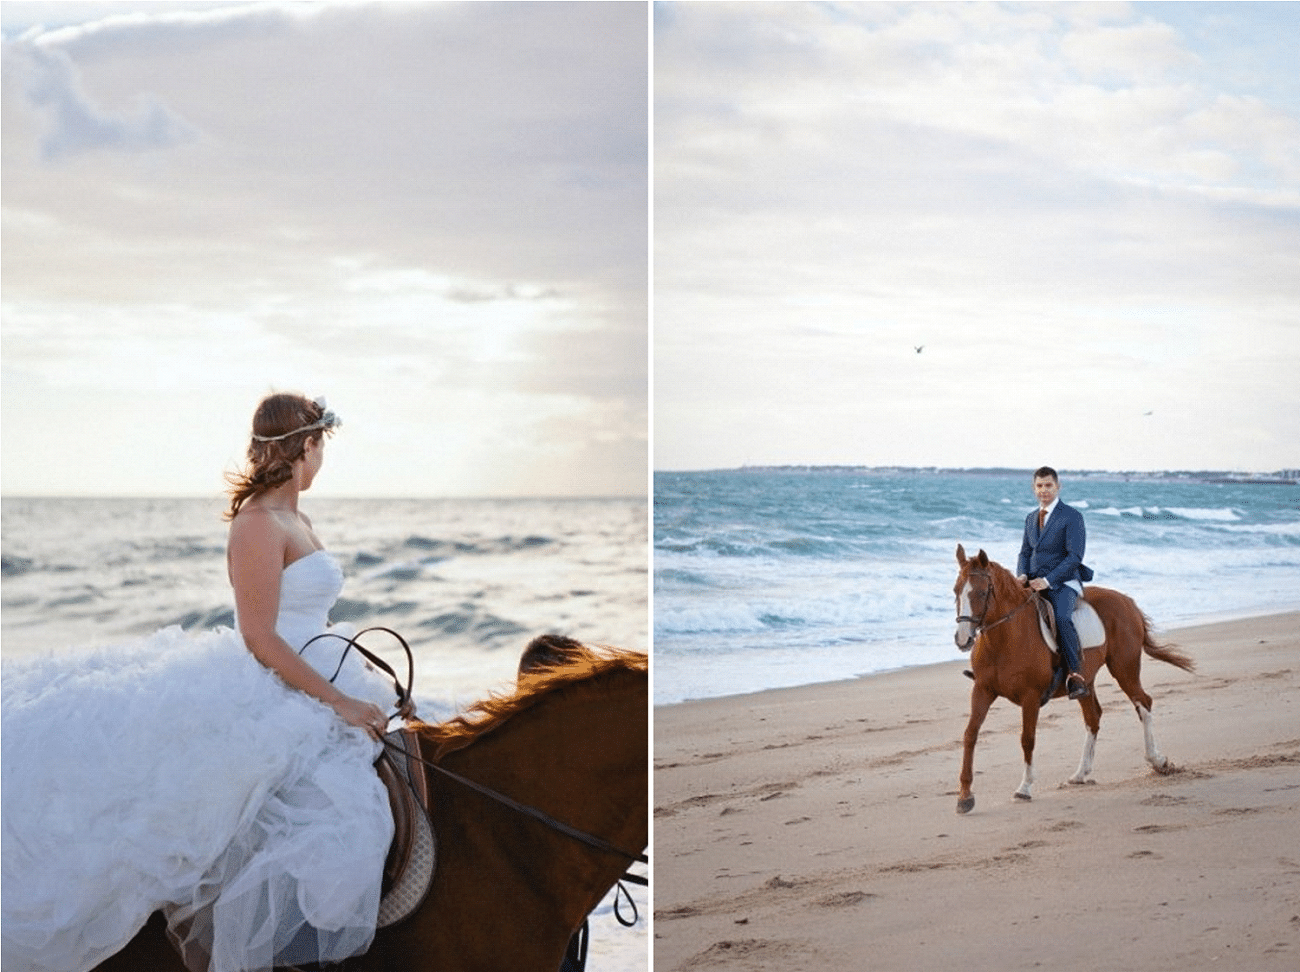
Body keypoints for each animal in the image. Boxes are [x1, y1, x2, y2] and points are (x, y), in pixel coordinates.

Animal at [951, 545, 1190, 810]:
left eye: (982, 592)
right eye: (956, 591)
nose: (963, 639)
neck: (1004, 640)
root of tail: (1127, 601)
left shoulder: (1030, 697)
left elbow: (1027, 738)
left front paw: (1024, 787)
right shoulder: (983, 690)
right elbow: (970, 735)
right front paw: (965, 796)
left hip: (1124, 668)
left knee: (1143, 703)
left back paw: (1157, 760)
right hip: (1086, 681)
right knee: (1093, 717)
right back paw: (1081, 774)